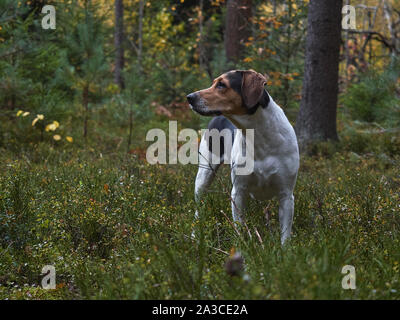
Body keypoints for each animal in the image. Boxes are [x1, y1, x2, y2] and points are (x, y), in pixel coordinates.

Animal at [186, 70, 298, 244]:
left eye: (221, 84)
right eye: (214, 82)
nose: (189, 97)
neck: (259, 137)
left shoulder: (286, 195)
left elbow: (285, 235)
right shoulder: (238, 192)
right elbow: (239, 227)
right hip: (204, 176)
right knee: (199, 208)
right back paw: (194, 235)